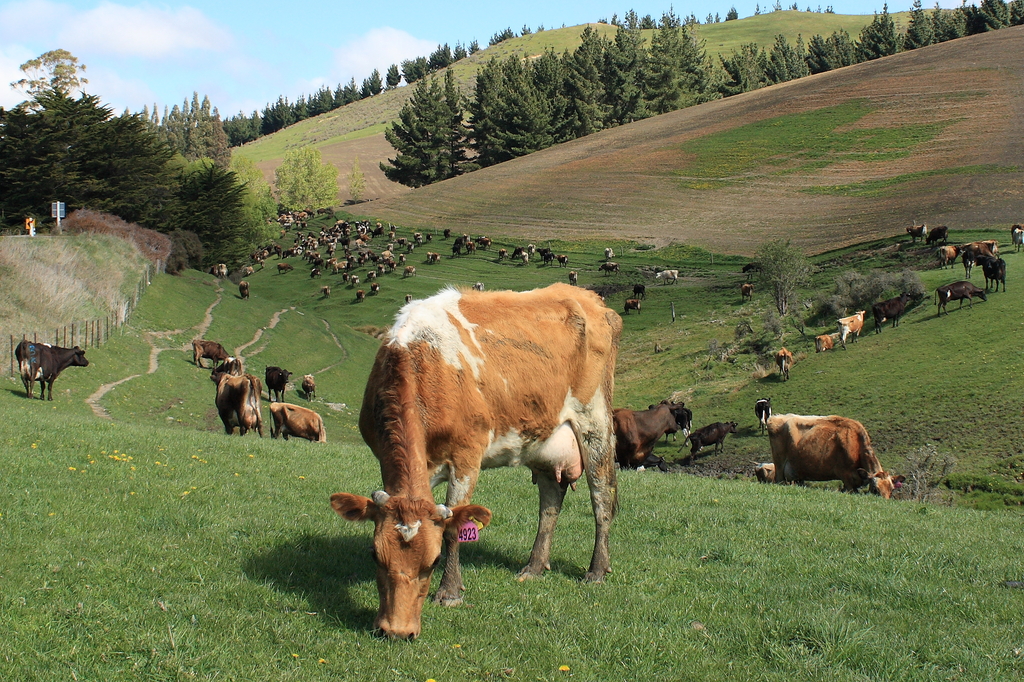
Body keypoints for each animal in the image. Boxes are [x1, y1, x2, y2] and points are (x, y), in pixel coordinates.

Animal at [327, 280, 618, 638]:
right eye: (374, 555)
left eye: (433, 561)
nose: (396, 630)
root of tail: (590, 298)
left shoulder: (467, 456)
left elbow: (455, 527)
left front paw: (449, 592)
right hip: (543, 438)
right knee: (550, 502)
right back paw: (534, 566)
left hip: (595, 421)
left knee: (602, 496)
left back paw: (596, 570)